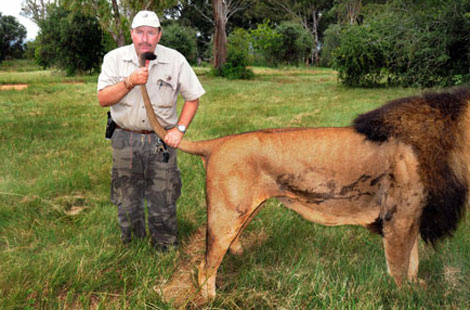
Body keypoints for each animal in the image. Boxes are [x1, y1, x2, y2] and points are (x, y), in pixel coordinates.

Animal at [138, 52, 468, 300]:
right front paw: (405, 297)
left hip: (243, 212)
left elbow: (413, 262)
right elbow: (400, 268)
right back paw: (211, 298)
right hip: (226, 215)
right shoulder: (398, 217)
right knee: (205, 266)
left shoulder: (414, 215)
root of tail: (216, 143)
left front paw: (417, 288)